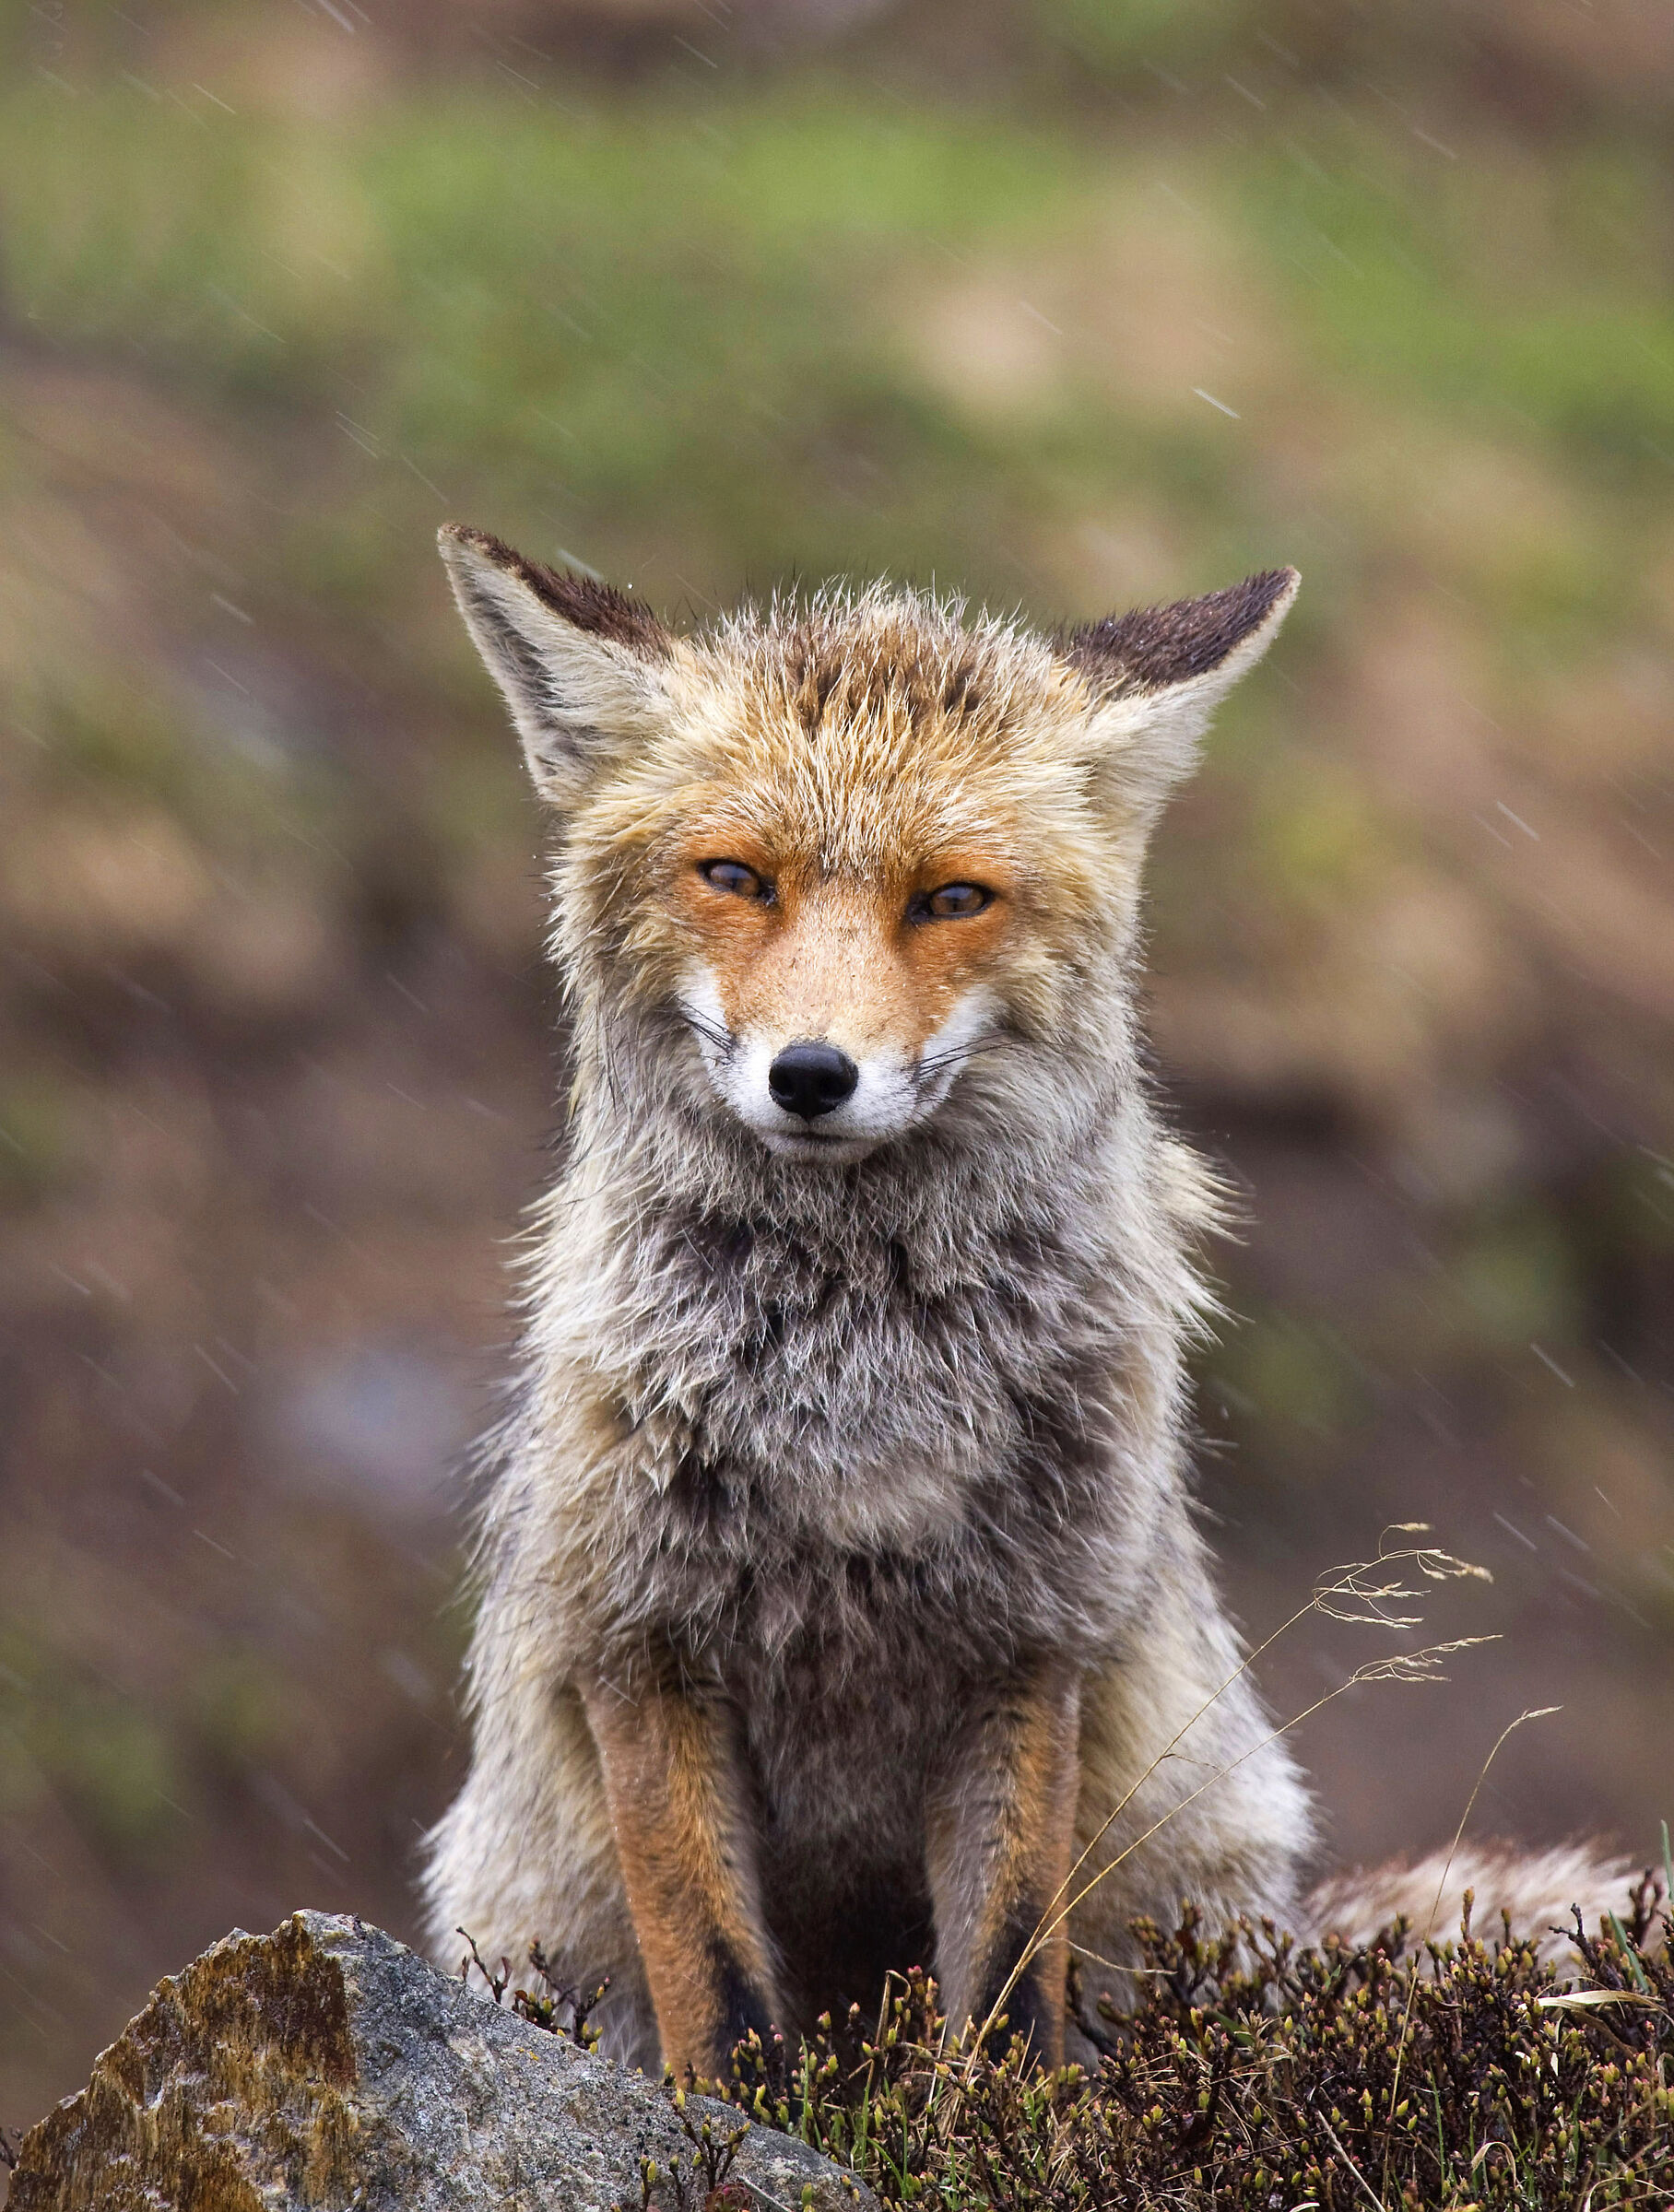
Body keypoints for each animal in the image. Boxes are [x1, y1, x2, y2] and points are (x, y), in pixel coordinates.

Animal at [423, 524, 1633, 2080]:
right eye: (736, 876)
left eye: (951, 897)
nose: (811, 1076)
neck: (856, 1395)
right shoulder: (635, 1637)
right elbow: (716, 1989)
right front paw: (729, 2119)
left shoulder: (1028, 1642)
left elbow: (1003, 1984)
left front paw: (988, 2118)